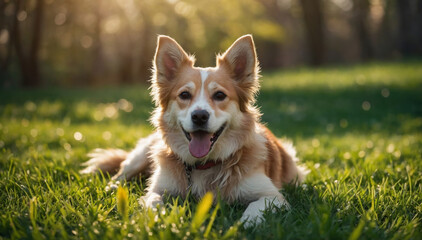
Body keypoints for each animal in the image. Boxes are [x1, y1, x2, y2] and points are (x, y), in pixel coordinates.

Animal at [81, 34, 308, 226]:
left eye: (219, 95)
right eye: (184, 95)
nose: (199, 116)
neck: (203, 166)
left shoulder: (273, 196)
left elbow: (255, 206)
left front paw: (245, 224)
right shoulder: (158, 189)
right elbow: (152, 201)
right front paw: (162, 217)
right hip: (142, 155)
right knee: (120, 174)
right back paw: (111, 188)